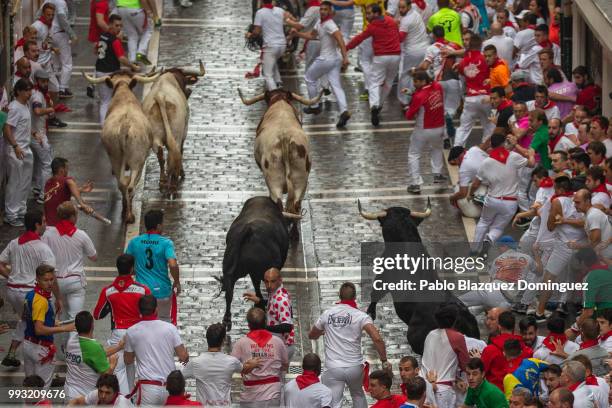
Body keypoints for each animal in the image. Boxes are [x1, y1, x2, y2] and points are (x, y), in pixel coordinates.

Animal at [82, 70, 161, 223]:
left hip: (116, 158)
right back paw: (130, 216)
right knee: (130, 186)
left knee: (121, 184)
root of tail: (125, 125)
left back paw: (125, 212)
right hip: (137, 160)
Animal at [142, 60, 207, 194]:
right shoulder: (184, 131)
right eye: (184, 81)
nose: (188, 91)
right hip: (177, 133)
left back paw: (163, 181)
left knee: (161, 155)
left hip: (155, 136)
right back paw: (173, 183)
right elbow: (181, 151)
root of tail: (161, 97)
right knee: (175, 153)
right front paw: (181, 173)